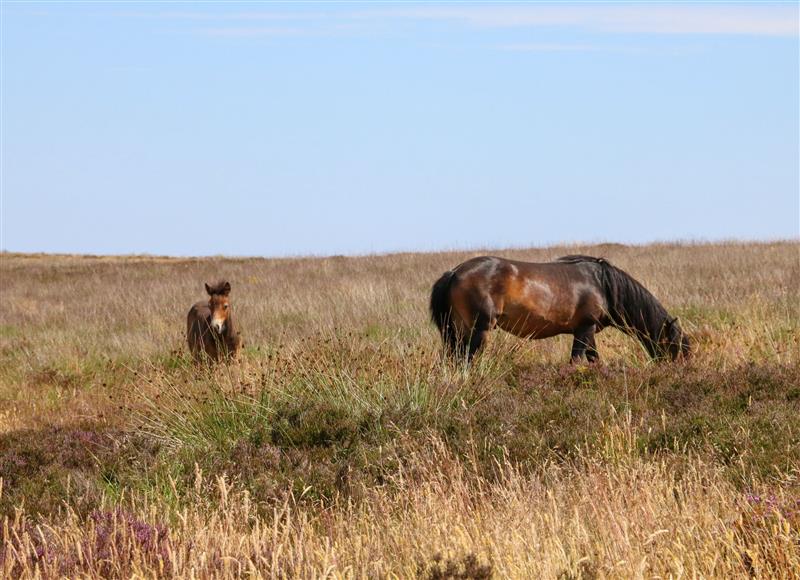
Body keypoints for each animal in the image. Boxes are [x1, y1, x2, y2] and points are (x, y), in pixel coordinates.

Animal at [428, 255, 692, 362]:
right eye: (676, 346)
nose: (678, 370)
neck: (602, 284)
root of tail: (454, 272)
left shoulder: (586, 331)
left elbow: (595, 360)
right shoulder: (584, 329)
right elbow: (575, 361)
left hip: (458, 330)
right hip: (478, 330)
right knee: (467, 360)